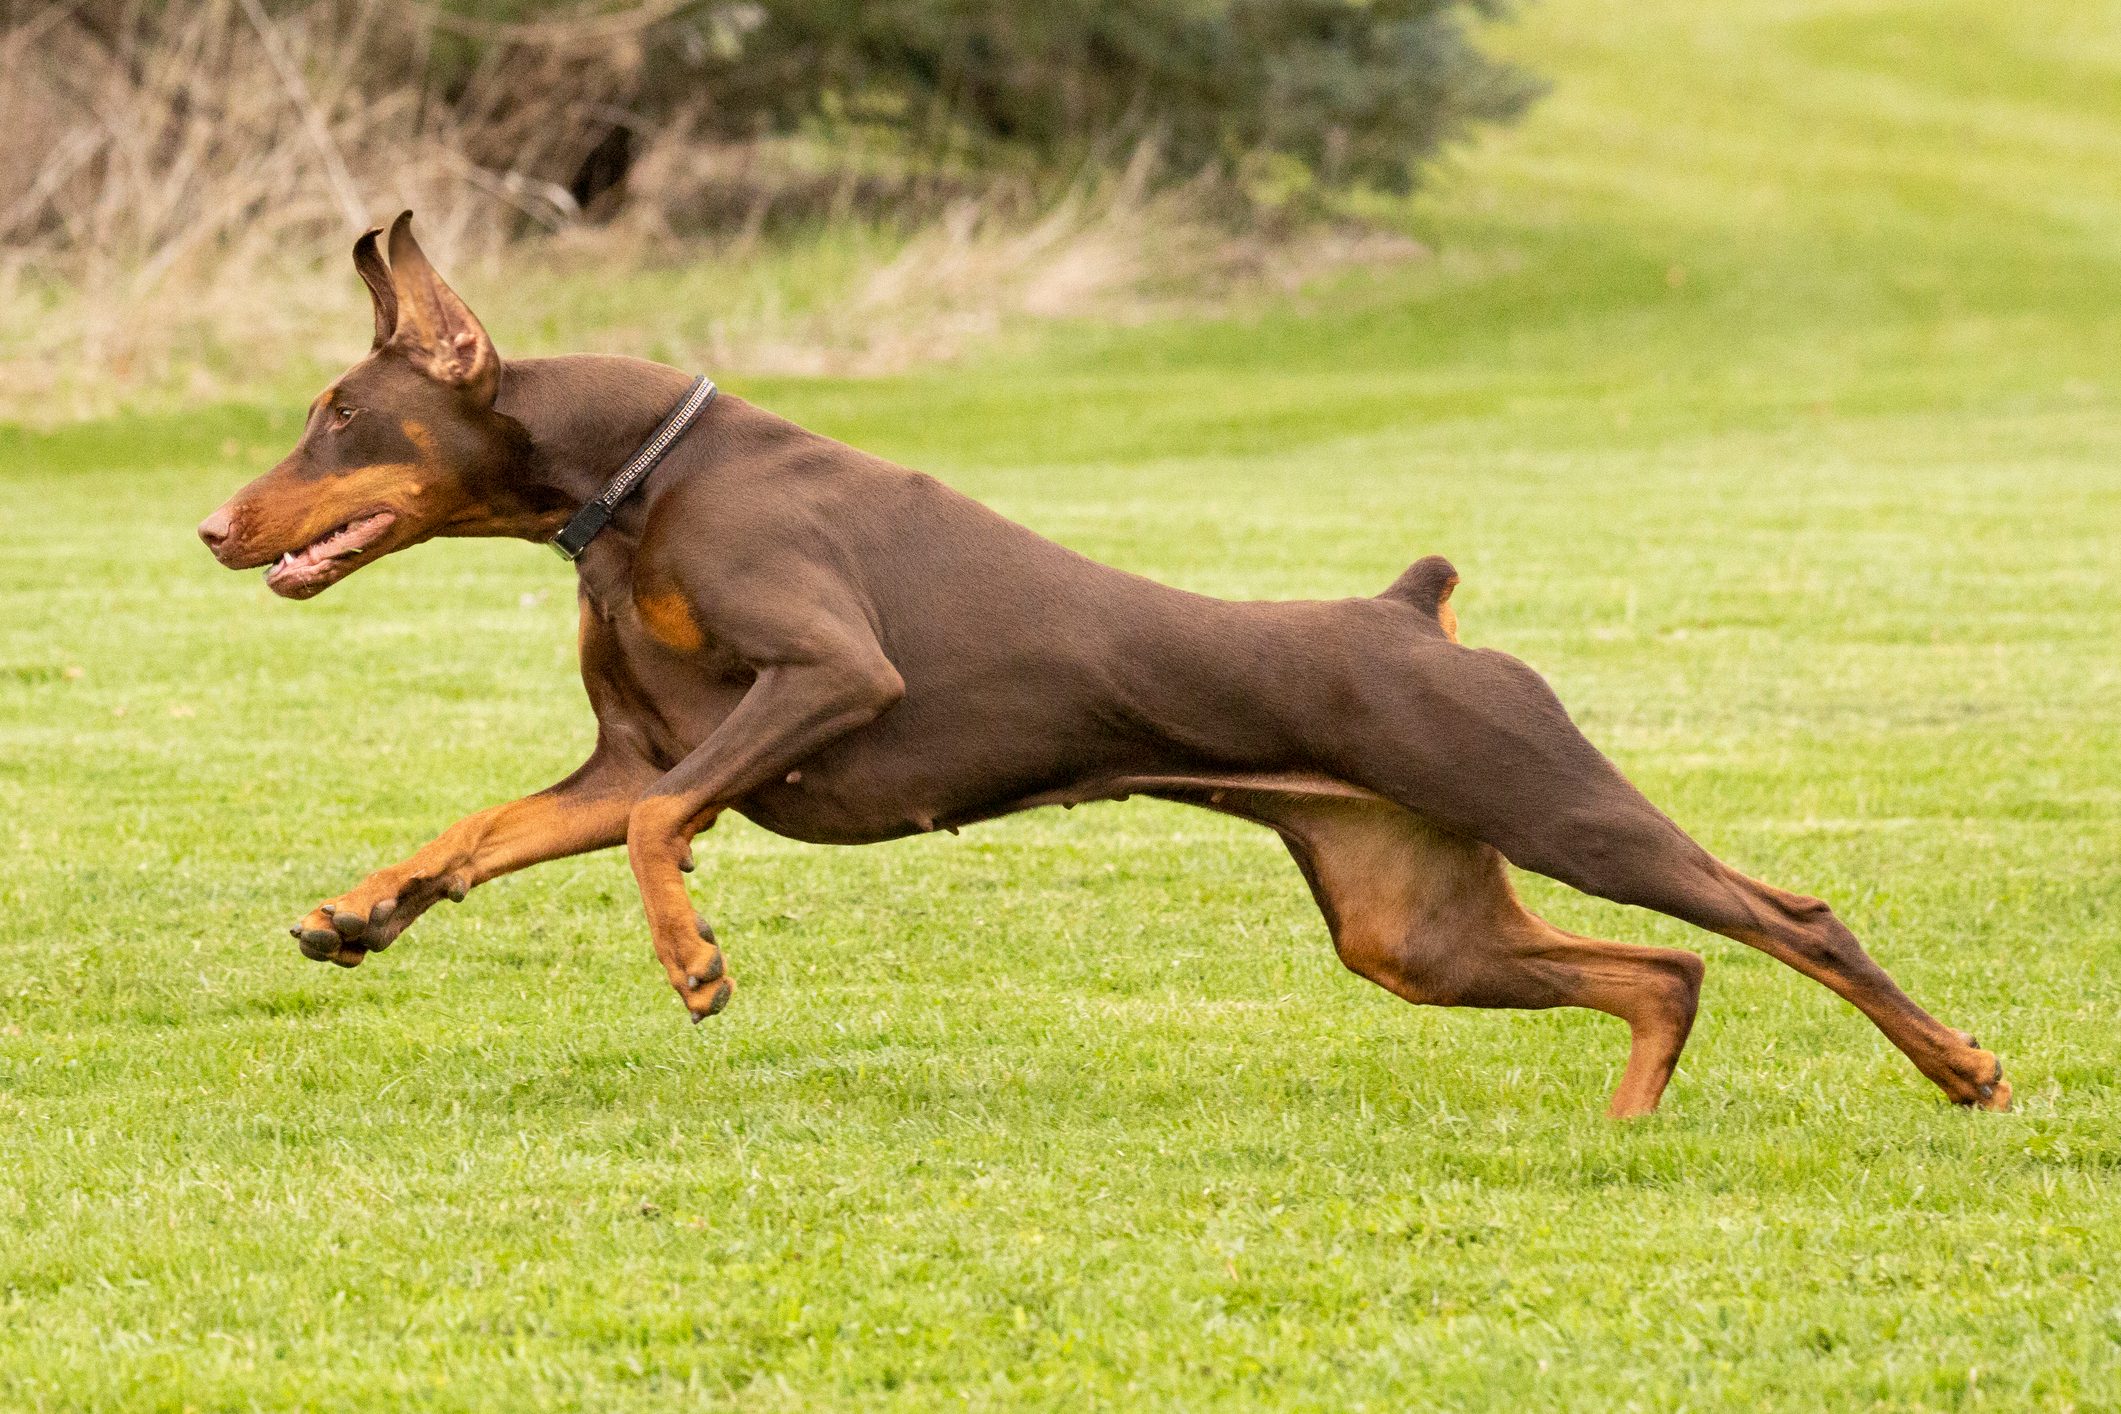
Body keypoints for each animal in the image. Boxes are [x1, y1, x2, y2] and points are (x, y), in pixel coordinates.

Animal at [195, 216, 2002, 1119]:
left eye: (339, 418)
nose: (212, 525)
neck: (637, 484)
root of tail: (1412, 610)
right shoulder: (632, 750)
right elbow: (488, 831)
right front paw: (360, 909)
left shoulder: (828, 679)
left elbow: (655, 835)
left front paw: (694, 958)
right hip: (1405, 923)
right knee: (1666, 971)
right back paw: (1625, 1134)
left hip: (1558, 802)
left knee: (1788, 920)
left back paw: (1960, 1066)